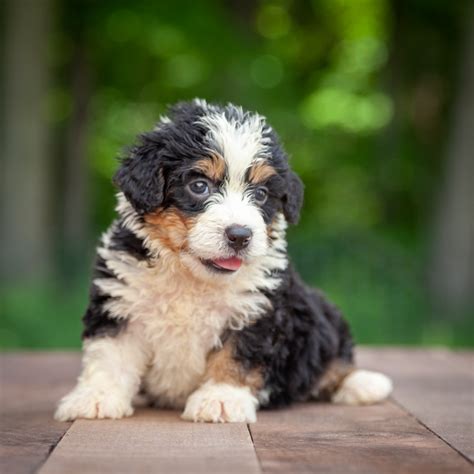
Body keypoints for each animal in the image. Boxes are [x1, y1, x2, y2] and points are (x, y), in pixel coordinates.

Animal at [54, 99, 392, 422]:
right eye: (199, 186)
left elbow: (236, 356)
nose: (240, 235)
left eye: (260, 194)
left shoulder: (256, 308)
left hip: (320, 314)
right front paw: (96, 397)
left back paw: (363, 383)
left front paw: (221, 399)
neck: (190, 277)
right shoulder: (120, 301)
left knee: (332, 359)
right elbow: (110, 355)